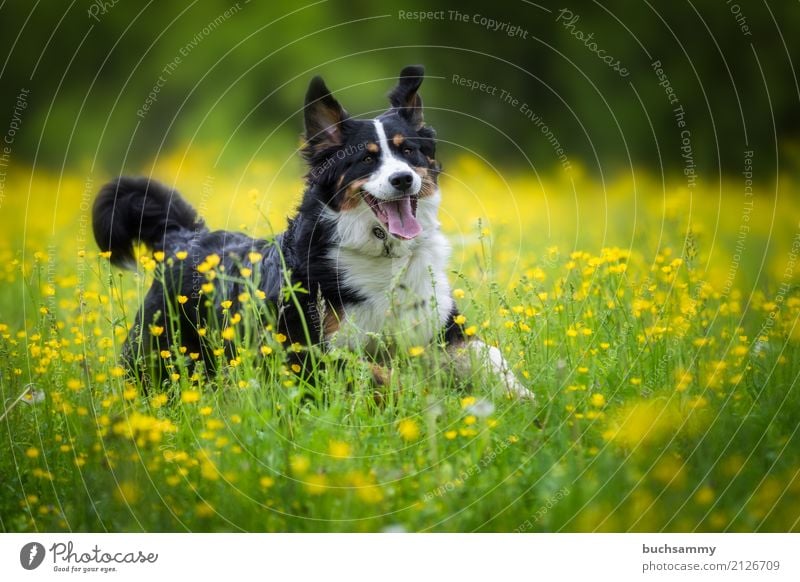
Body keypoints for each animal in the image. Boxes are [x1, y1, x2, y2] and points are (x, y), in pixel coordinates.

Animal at [92, 65, 532, 402]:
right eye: (366, 159)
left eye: (409, 152)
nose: (403, 179)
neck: (381, 256)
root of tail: (183, 237)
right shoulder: (310, 349)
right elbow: (378, 373)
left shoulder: (440, 328)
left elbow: (488, 355)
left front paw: (523, 399)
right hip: (157, 353)